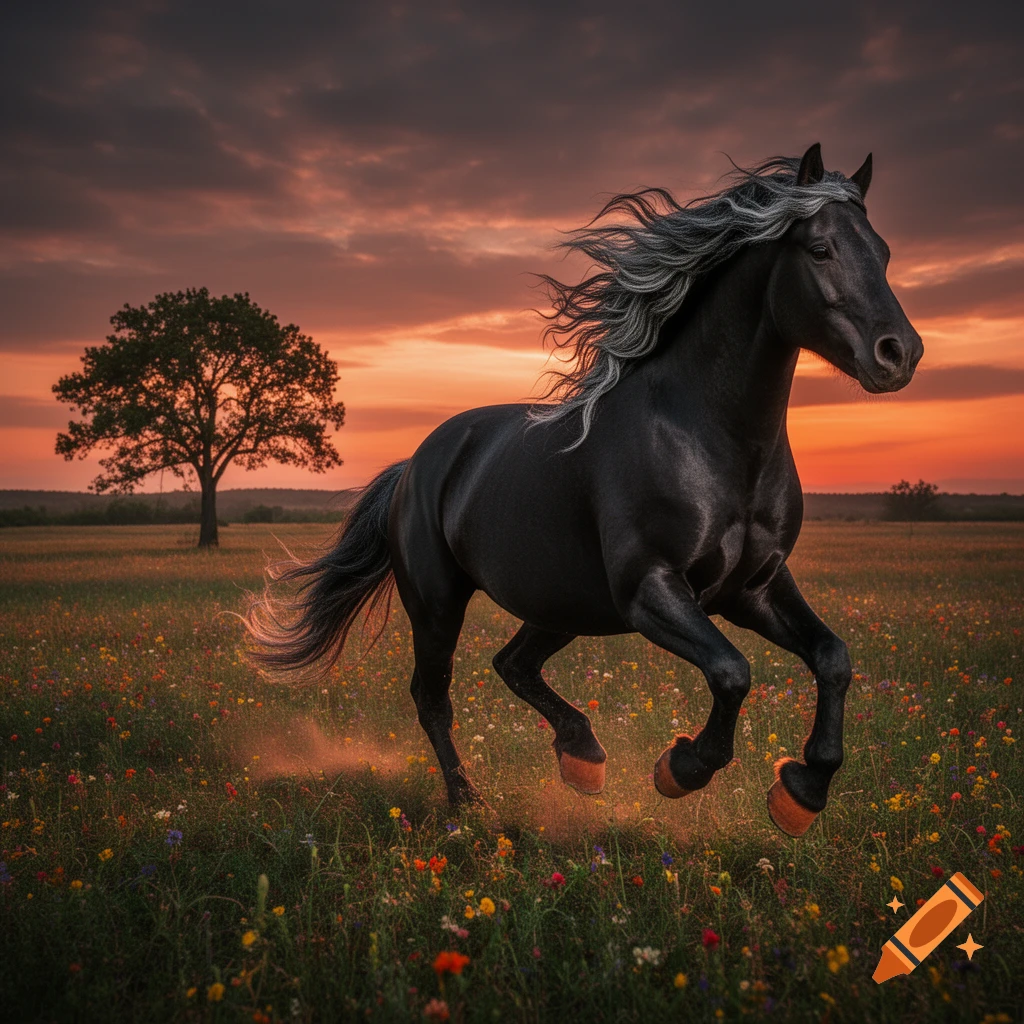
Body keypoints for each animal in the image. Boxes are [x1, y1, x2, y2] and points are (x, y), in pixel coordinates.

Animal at [246, 143, 923, 837]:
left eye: (884, 252)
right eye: (820, 248)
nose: (899, 353)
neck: (709, 438)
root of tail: (414, 466)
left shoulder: (753, 587)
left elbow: (832, 657)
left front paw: (802, 791)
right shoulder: (651, 589)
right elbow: (733, 672)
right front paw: (682, 768)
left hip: (564, 602)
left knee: (513, 664)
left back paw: (582, 757)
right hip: (440, 603)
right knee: (433, 698)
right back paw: (469, 803)